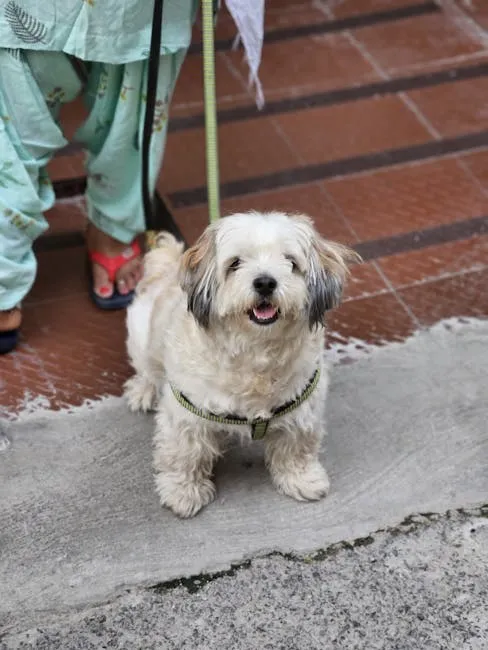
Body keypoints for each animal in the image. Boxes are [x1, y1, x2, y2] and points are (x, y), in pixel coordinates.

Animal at [125, 213, 358, 516]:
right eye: (235, 263)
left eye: (290, 262)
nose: (265, 282)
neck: (255, 353)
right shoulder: (186, 414)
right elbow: (185, 454)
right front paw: (183, 492)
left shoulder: (303, 405)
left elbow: (296, 447)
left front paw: (302, 479)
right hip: (141, 336)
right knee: (147, 370)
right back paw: (144, 390)